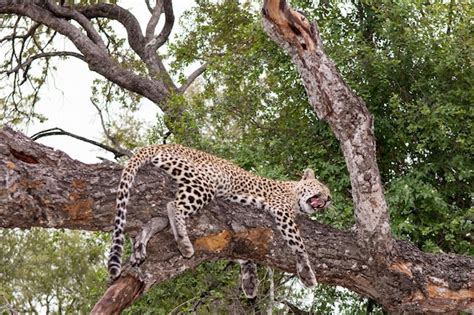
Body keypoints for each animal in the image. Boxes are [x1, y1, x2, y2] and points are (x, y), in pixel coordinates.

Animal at [108, 145, 332, 298]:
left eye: (329, 196)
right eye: (321, 188)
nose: (329, 199)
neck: (293, 192)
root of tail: (160, 145)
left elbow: (245, 255)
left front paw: (250, 281)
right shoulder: (282, 212)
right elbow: (299, 244)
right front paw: (307, 273)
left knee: (154, 220)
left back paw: (140, 246)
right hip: (204, 183)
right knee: (174, 205)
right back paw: (184, 243)